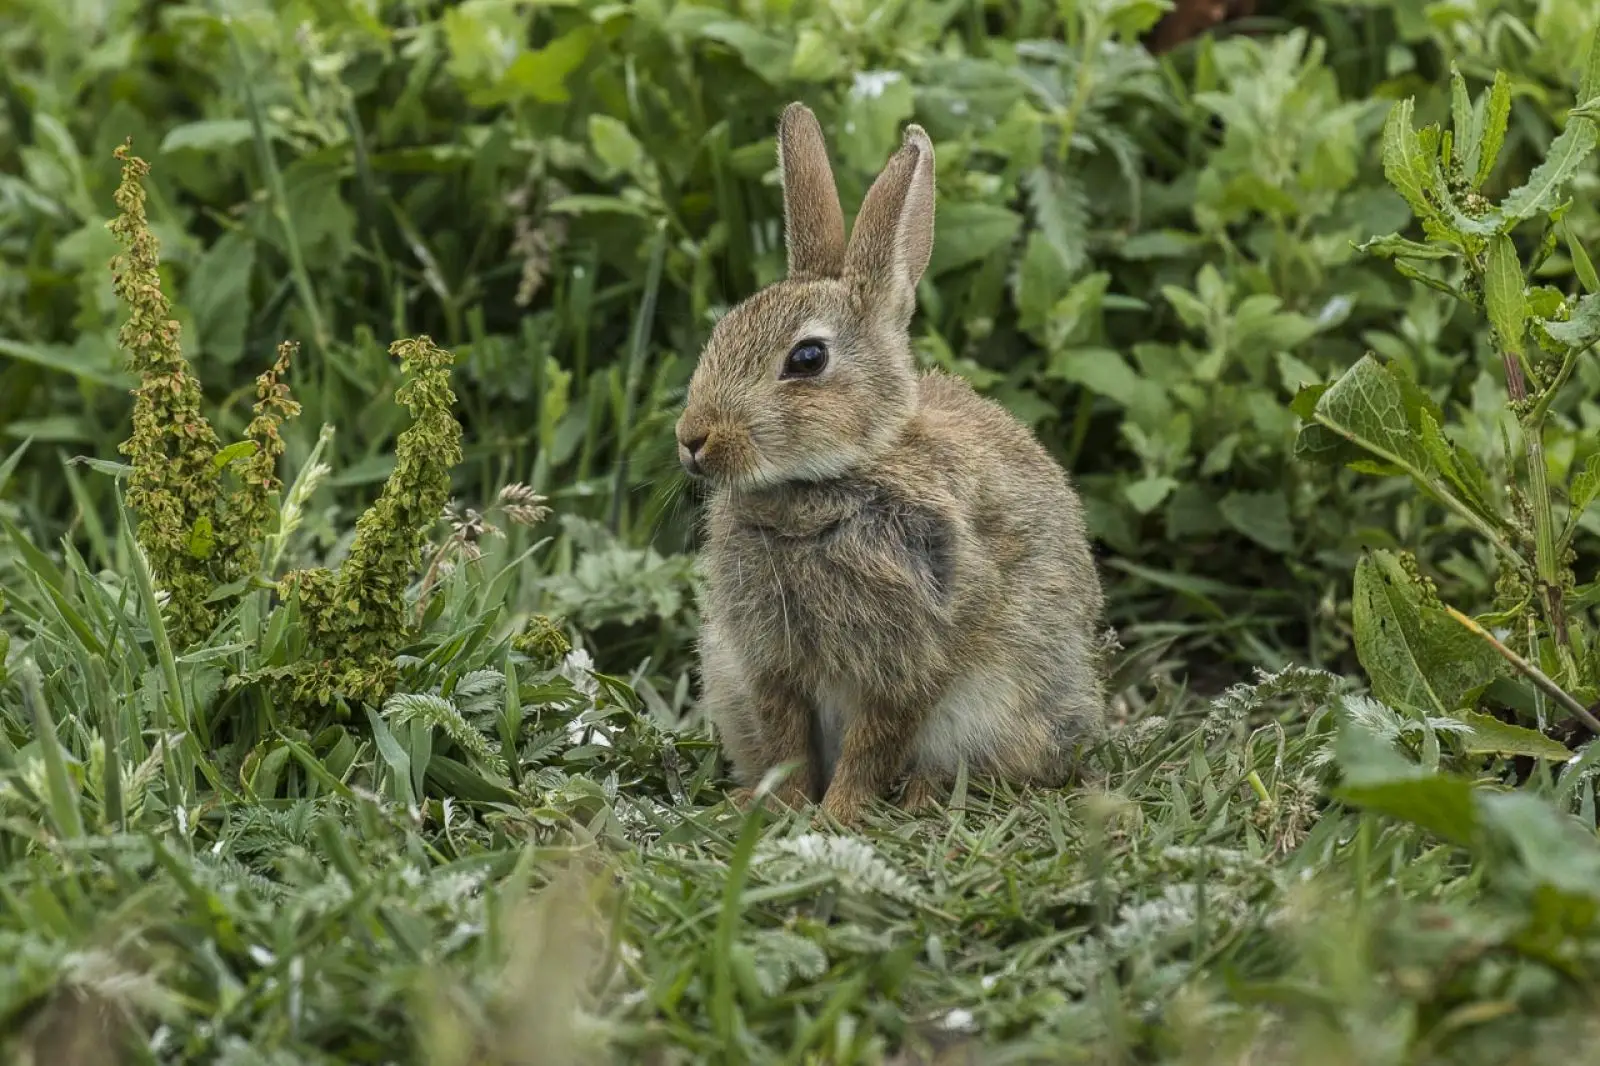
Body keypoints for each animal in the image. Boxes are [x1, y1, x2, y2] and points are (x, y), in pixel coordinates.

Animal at [675, 102, 1107, 826]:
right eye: (722, 331)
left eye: (807, 359)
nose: (692, 439)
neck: (830, 482)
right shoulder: (769, 664)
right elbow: (788, 737)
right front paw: (784, 807)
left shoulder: (913, 659)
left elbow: (876, 740)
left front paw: (839, 813)